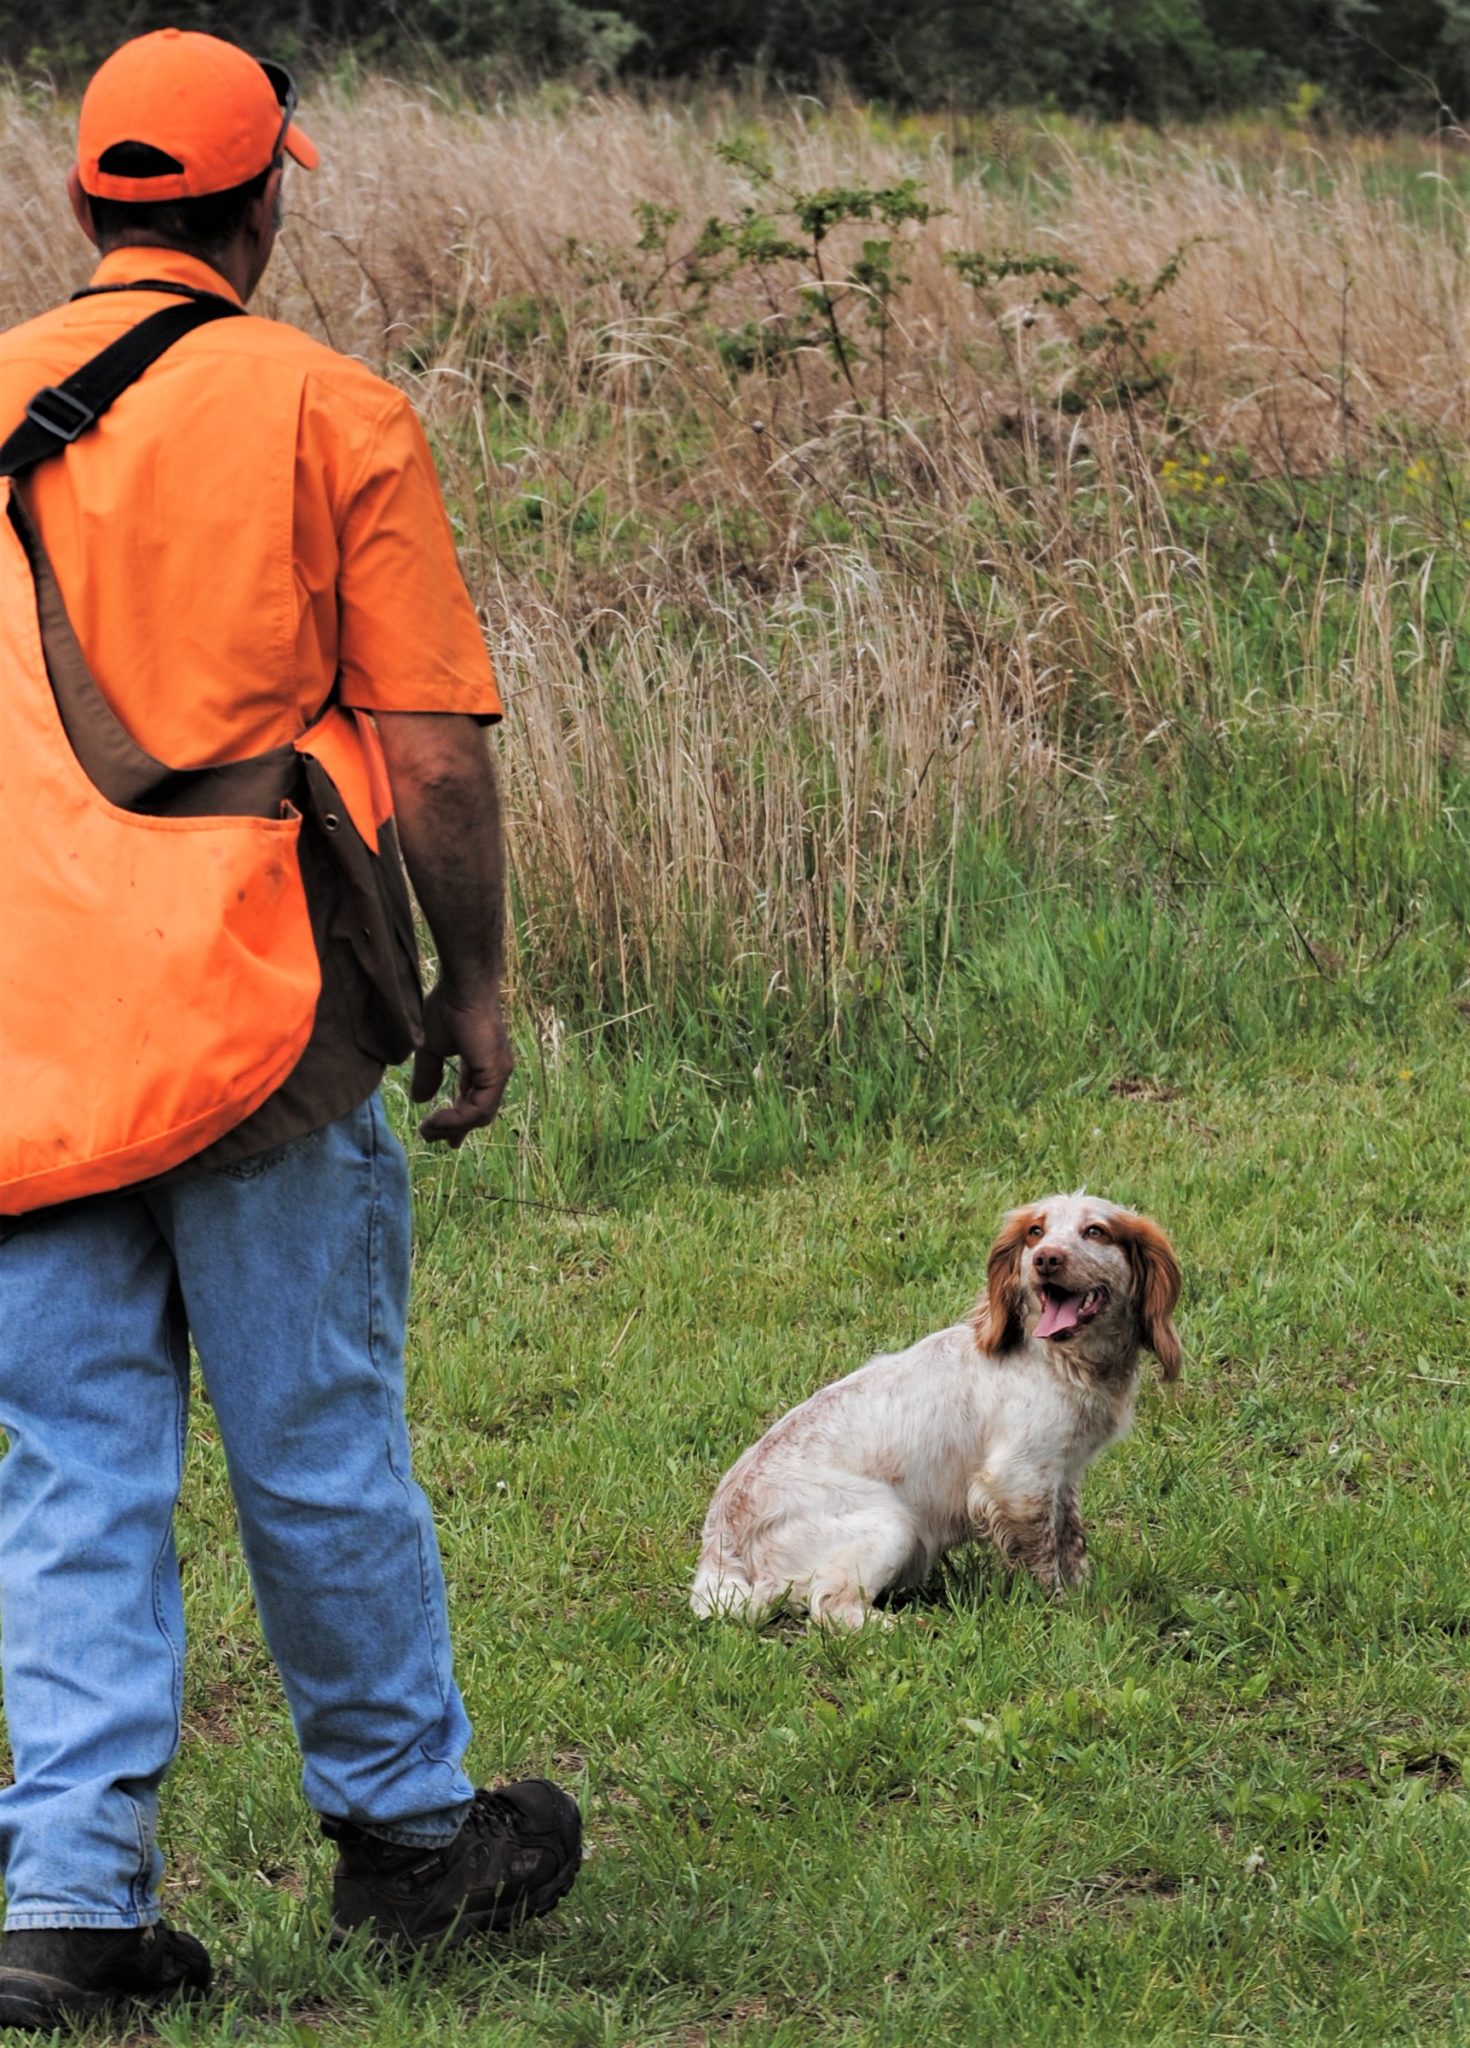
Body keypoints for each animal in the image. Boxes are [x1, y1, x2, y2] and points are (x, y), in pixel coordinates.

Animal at [692, 1196, 1187, 1622]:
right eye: (1036, 1231)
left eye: (1095, 1231)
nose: (1046, 1258)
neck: (1058, 1359)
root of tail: (720, 1538)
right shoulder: (1017, 1478)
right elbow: (1043, 1557)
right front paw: (1064, 1612)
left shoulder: (1062, 1475)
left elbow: (1070, 1541)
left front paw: (1085, 1593)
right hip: (893, 1523)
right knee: (831, 1607)